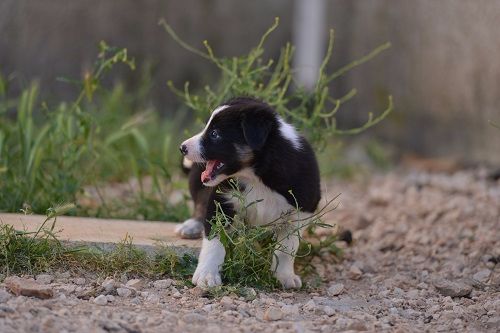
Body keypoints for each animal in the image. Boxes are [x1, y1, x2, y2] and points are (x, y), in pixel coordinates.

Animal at [179, 96, 320, 288]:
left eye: (215, 134)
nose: (182, 147)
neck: (257, 176)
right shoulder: (221, 199)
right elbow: (213, 241)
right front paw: (206, 276)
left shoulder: (302, 209)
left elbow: (287, 247)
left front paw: (284, 277)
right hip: (197, 179)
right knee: (199, 203)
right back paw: (191, 226)